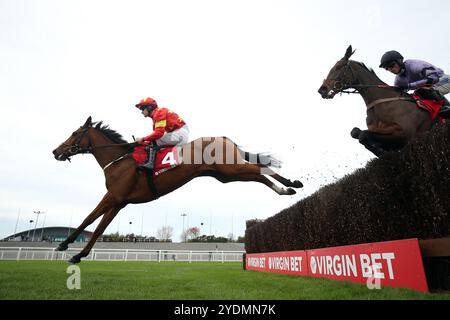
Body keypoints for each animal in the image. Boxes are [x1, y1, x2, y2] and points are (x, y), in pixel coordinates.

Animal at [51, 115, 302, 262]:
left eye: (74, 133)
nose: (55, 151)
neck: (119, 160)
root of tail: (223, 137)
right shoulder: (119, 202)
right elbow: (95, 224)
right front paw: (72, 250)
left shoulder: (113, 196)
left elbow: (92, 222)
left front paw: (70, 249)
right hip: (227, 176)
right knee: (259, 174)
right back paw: (288, 188)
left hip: (232, 169)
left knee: (260, 169)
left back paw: (291, 185)